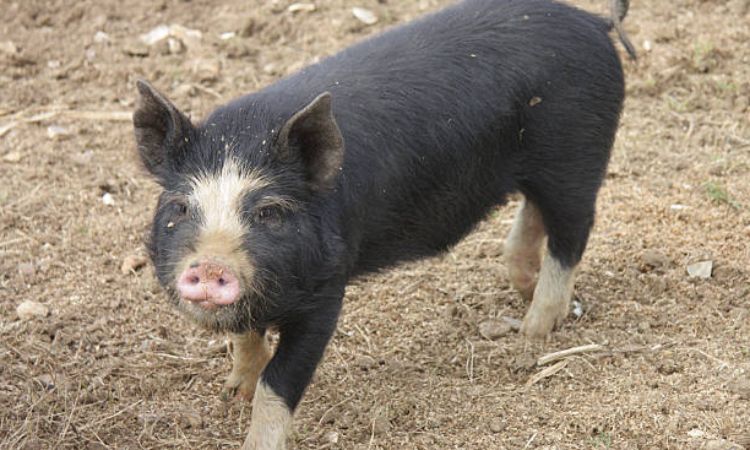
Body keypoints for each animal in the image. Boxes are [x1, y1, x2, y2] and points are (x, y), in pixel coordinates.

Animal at [133, 0, 634, 447]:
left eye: (269, 211)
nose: (210, 265)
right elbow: (246, 336)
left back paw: (532, 332)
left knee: (572, 231)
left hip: (577, 157)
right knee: (534, 213)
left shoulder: (327, 291)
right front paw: (231, 393)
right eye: (180, 207)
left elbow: (279, 382)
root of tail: (595, 23)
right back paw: (524, 293)